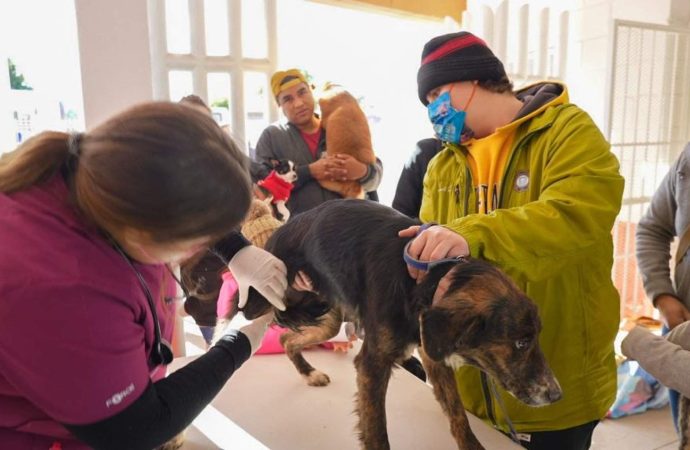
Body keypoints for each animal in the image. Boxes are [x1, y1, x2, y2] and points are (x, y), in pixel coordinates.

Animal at [242, 200, 560, 450]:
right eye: (521, 342)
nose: (557, 395)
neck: (429, 282)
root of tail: (284, 227)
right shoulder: (372, 365)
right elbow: (377, 433)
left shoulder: (432, 353)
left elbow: (458, 414)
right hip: (266, 292)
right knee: (245, 310)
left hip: (326, 320)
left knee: (286, 340)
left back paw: (309, 373)